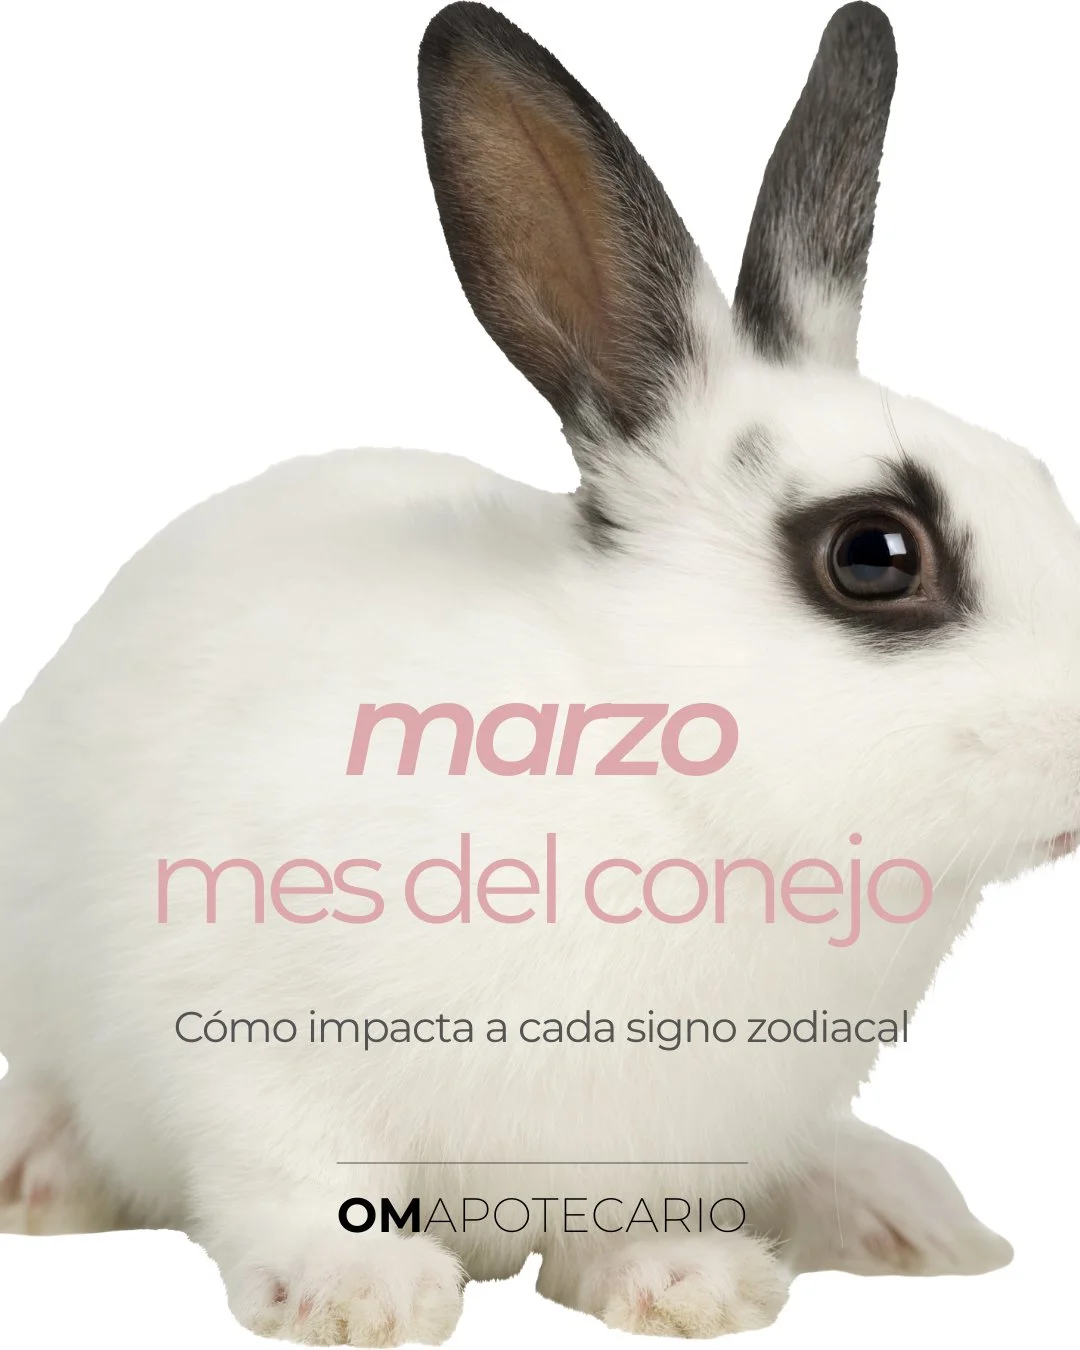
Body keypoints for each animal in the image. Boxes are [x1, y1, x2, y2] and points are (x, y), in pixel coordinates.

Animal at [0, 0, 1069, 1342]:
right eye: (873, 553)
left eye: (1041, 481)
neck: (672, 778)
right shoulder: (240, 1037)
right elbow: (289, 1178)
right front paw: (366, 1295)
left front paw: (687, 1285)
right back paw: (37, 1174)